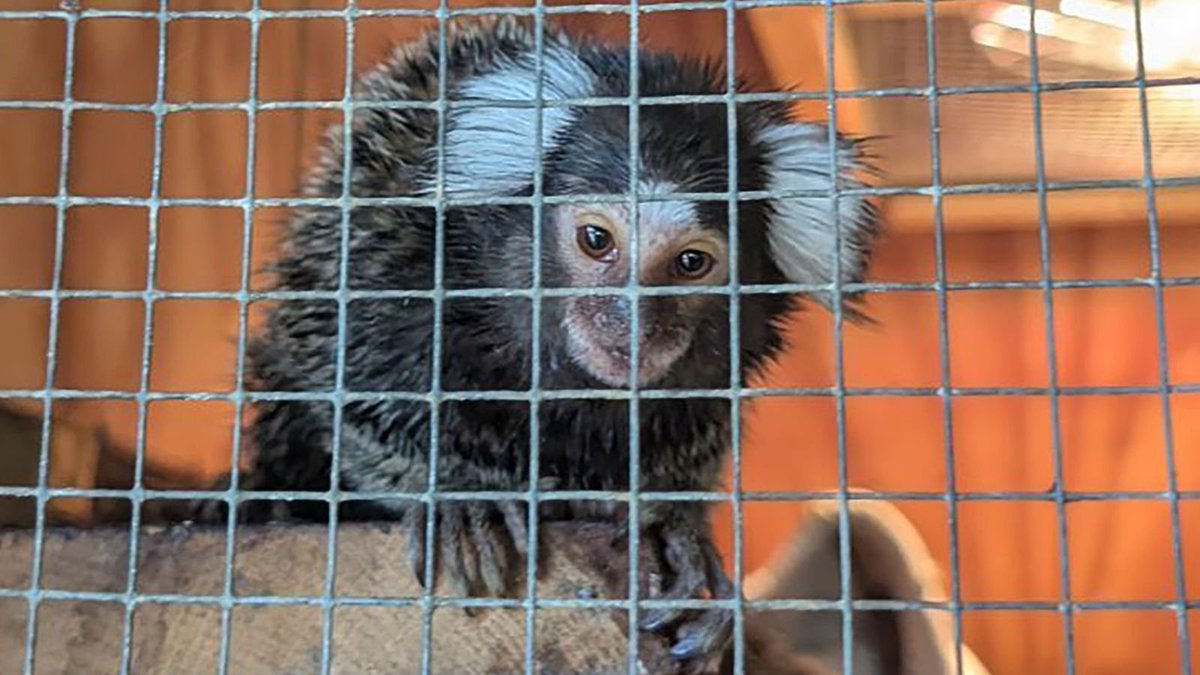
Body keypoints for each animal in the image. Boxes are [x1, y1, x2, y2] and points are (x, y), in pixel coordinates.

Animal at [193, 16, 880, 673]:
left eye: (691, 262)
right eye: (597, 240)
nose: (631, 324)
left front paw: (671, 526)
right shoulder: (385, 260)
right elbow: (352, 396)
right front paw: (461, 496)